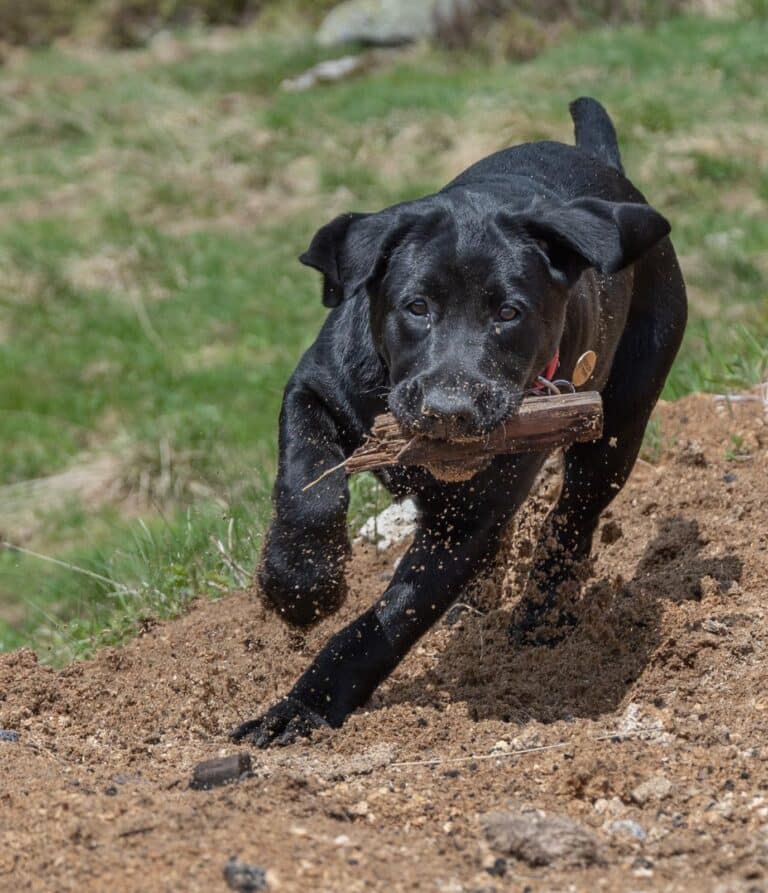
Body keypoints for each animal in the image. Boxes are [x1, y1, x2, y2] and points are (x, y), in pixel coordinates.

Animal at [231, 96, 688, 744]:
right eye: (416, 307)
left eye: (509, 313)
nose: (450, 412)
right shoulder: (315, 388)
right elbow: (307, 485)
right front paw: (300, 586)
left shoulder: (471, 519)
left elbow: (390, 619)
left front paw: (302, 709)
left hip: (622, 415)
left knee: (573, 519)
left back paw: (541, 616)